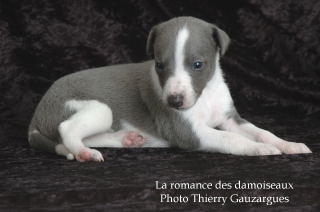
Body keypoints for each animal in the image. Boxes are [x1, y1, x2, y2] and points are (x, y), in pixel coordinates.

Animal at [27, 16, 310, 161]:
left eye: (198, 64)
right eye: (160, 65)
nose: (174, 101)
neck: (204, 96)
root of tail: (36, 115)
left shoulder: (230, 118)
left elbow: (262, 132)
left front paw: (288, 144)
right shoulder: (187, 130)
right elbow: (231, 138)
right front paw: (257, 149)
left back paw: (126, 139)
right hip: (98, 109)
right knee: (67, 129)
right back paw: (84, 153)